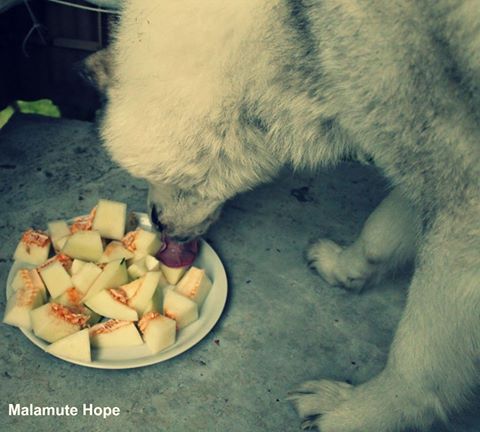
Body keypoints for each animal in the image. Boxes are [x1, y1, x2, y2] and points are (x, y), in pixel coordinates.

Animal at [99, 1, 480, 430]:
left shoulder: (466, 204)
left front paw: (356, 412)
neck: (301, 27)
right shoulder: (427, 157)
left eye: (162, 176)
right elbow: (382, 230)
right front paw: (346, 267)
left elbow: (419, 359)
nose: (158, 225)